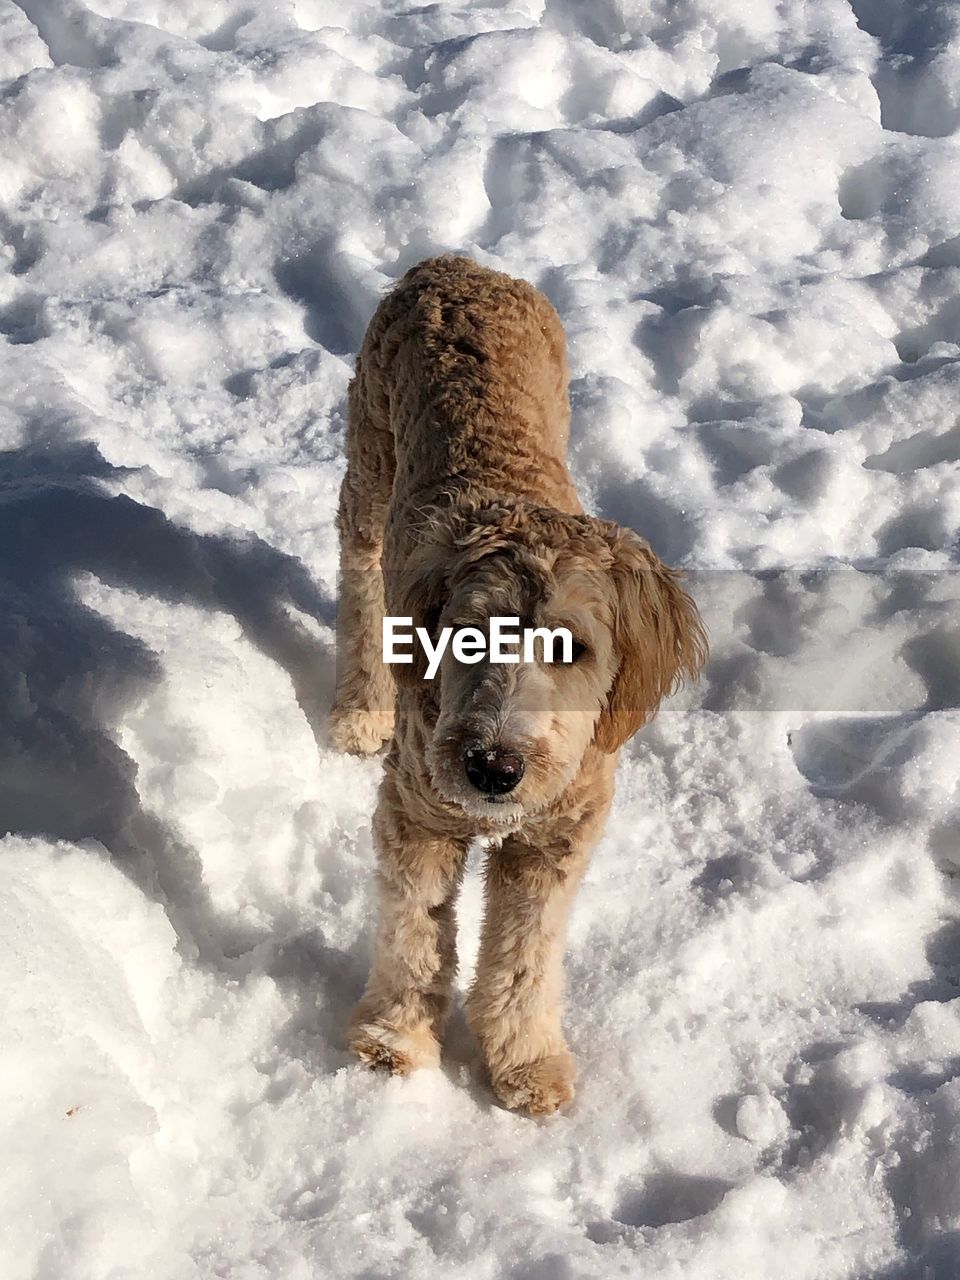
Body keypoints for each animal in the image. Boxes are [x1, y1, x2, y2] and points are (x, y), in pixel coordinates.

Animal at [330, 257, 706, 1111]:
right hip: (368, 459)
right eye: (470, 633)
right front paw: (395, 1040)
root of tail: (455, 264)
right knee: (361, 577)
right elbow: (414, 929)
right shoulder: (417, 808)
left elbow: (526, 954)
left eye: (571, 646)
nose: (492, 769)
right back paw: (359, 705)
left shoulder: (558, 835)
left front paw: (527, 1063)